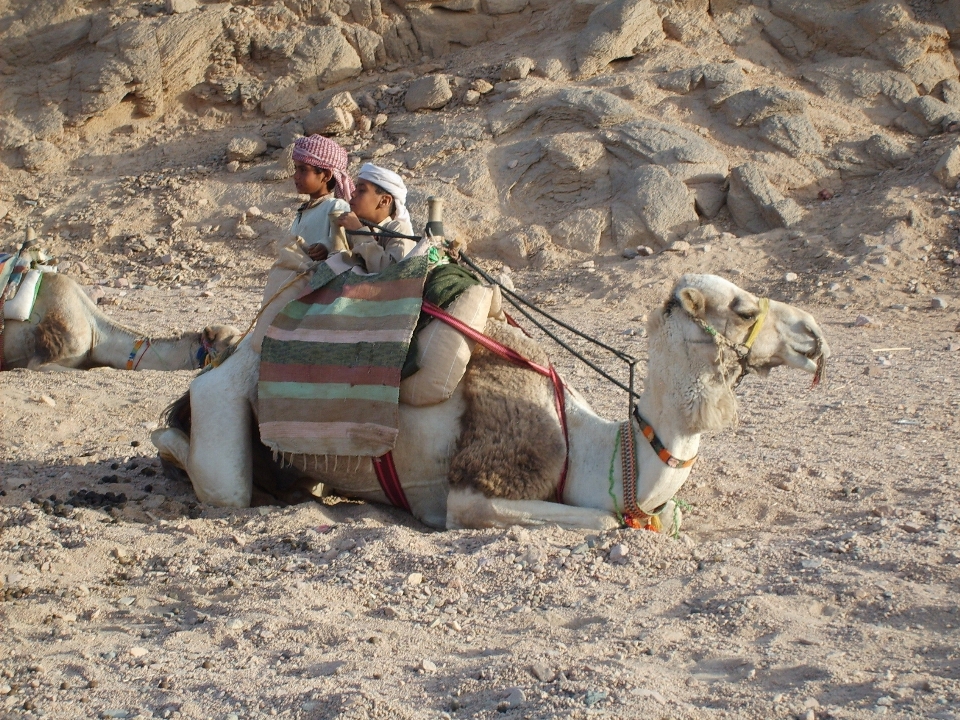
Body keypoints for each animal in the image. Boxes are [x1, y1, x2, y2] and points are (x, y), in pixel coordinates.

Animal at [150, 272, 824, 532]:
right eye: (743, 309)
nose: (814, 337)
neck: (592, 449)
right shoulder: (475, 492)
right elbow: (607, 521)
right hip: (225, 406)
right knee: (209, 465)